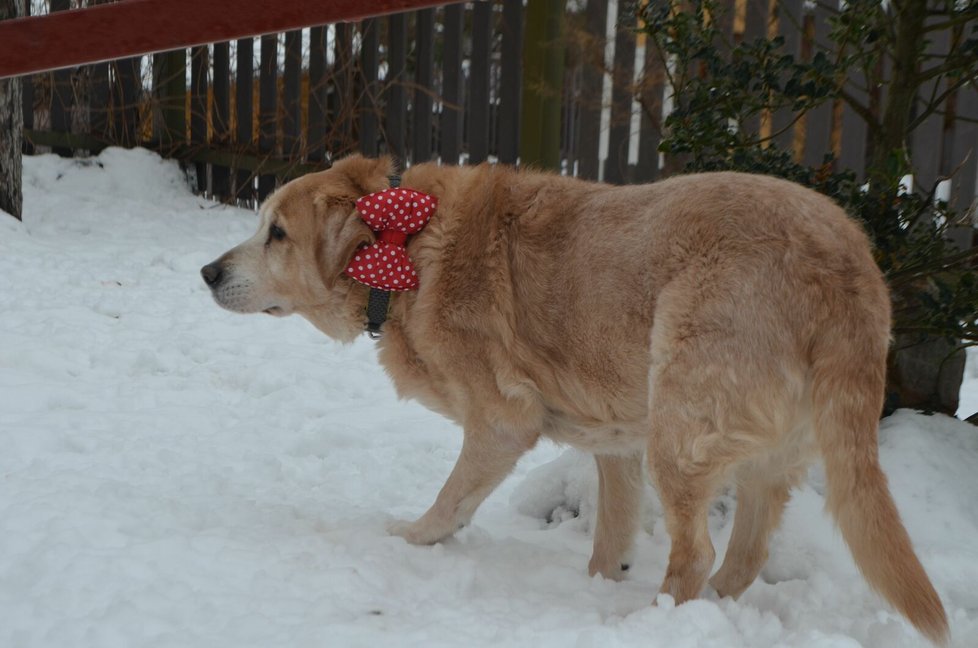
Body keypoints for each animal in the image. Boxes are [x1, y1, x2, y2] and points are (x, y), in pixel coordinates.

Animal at [204, 156, 944, 644]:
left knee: (697, 554)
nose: (208, 271)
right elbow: (611, 534)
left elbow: (451, 501)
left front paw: (412, 537)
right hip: (759, 454)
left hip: (682, 427)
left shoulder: (502, 422)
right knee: (743, 556)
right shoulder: (616, 445)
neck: (404, 245)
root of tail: (845, 265)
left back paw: (656, 623)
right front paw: (596, 583)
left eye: (277, 234)